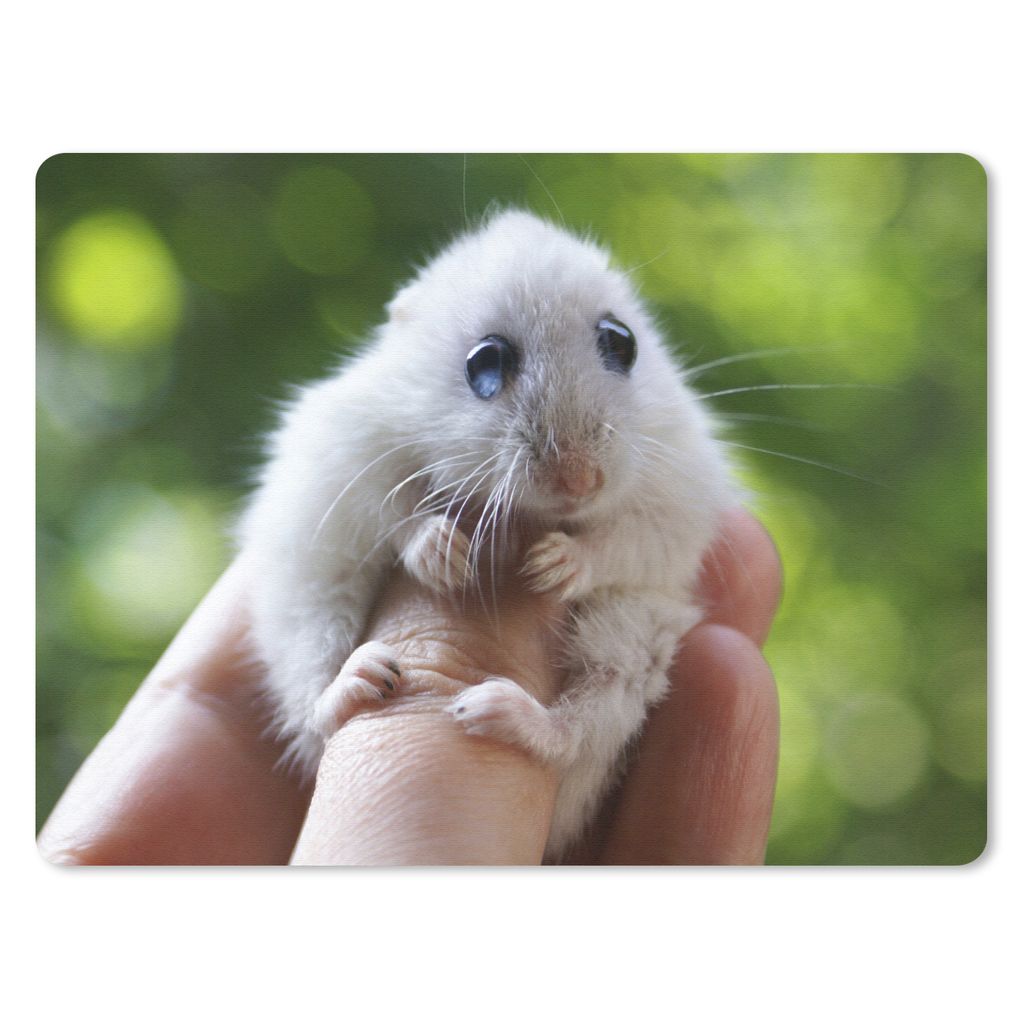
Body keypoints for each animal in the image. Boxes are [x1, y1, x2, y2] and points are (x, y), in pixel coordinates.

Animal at [238, 209, 735, 861]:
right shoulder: (345, 455)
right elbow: (392, 514)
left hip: (634, 647)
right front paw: (447, 557)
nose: (580, 481)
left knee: (578, 731)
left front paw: (549, 566)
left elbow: (629, 540)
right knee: (313, 699)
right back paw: (368, 679)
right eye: (484, 363)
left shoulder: (680, 492)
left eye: (622, 342)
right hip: (306, 611)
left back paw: (489, 708)